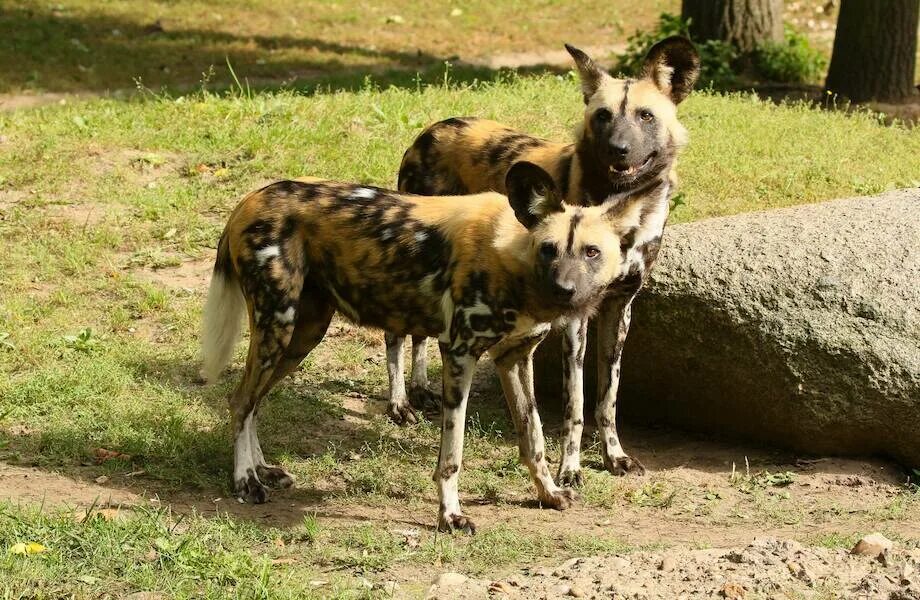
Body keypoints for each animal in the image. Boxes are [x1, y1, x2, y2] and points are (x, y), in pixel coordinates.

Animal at [201, 163, 660, 528]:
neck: (513, 260)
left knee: (252, 401)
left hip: (301, 335)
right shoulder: (459, 353)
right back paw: (245, 481)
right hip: (278, 326)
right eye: (549, 250)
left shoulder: (513, 358)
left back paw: (262, 469)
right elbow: (452, 455)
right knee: (240, 401)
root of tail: (250, 199)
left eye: (591, 252)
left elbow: (534, 439)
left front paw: (548, 494)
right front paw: (450, 515)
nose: (564, 290)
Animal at [384, 36, 700, 488]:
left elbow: (608, 398)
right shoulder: (574, 319)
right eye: (603, 116)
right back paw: (398, 403)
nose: (618, 149)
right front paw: (570, 468)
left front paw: (614, 455)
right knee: (394, 335)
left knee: (421, 333)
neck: (621, 206)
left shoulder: (618, 308)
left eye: (645, 116)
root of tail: (432, 129)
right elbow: (576, 403)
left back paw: (422, 388)